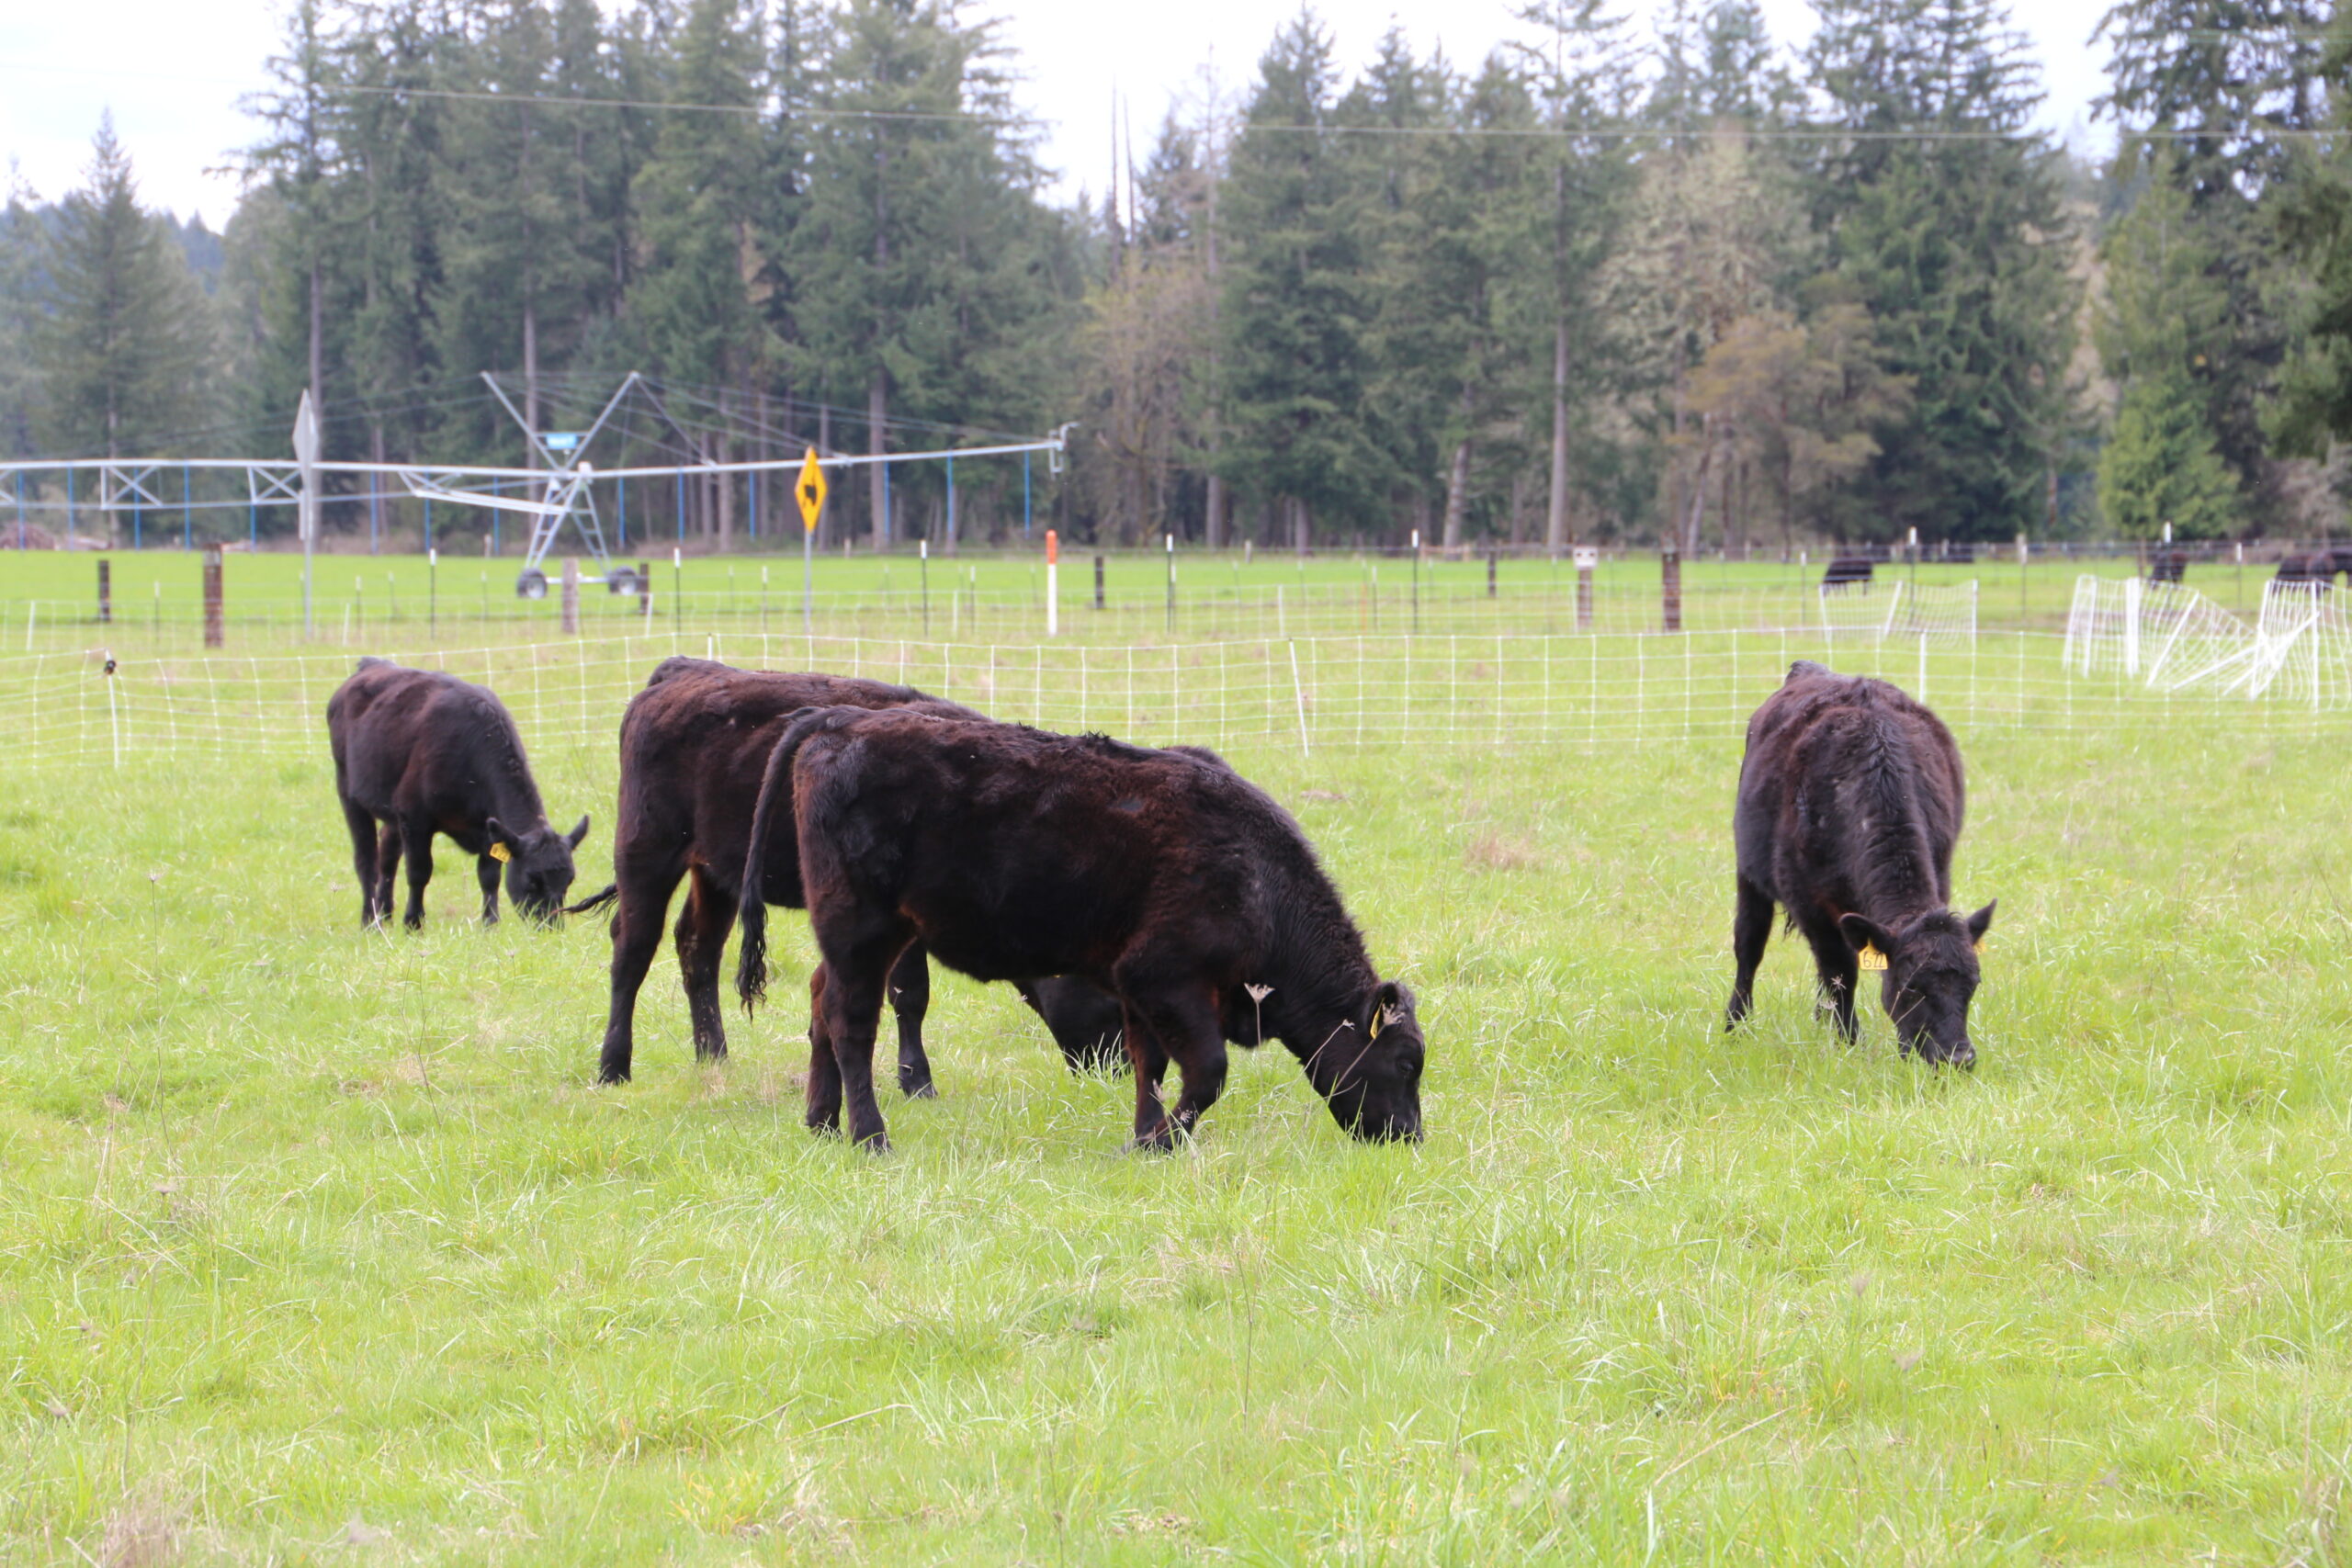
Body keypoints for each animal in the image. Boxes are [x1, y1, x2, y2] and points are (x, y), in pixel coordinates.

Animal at [326, 658, 589, 929]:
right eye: (532, 879)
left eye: (569, 880)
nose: (551, 926)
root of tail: (371, 665)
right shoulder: (414, 816)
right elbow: (419, 872)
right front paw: (413, 923)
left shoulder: (488, 828)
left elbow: (490, 876)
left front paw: (490, 923)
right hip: (349, 792)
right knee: (367, 861)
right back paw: (370, 921)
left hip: (391, 808)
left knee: (388, 856)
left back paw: (385, 914)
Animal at [734, 710, 1426, 1152]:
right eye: (1407, 1061)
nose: (1409, 1137)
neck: (1256, 877)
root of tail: (839, 723)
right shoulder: (1168, 980)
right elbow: (1207, 1071)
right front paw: (1164, 1141)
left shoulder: (1137, 988)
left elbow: (1151, 1065)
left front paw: (1147, 1135)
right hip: (860, 929)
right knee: (850, 1022)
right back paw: (869, 1136)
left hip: (875, 935)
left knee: (821, 1004)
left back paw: (822, 1121)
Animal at [1723, 661, 1995, 1066]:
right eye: (1910, 987)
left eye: (1973, 983)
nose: (1958, 1058)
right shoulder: (1809, 902)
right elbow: (1841, 971)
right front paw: (1850, 1043)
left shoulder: (1941, 872)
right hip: (1749, 873)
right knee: (1749, 946)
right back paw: (1735, 1025)